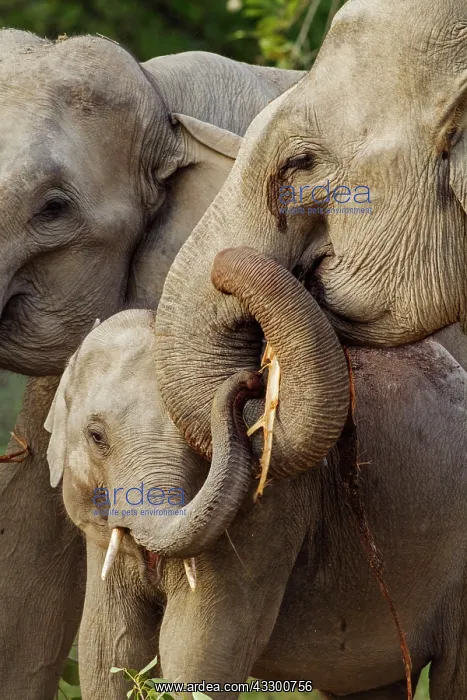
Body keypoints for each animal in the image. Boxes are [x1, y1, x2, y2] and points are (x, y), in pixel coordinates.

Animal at [46, 249, 467, 699]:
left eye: (197, 442)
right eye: (96, 437)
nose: (248, 381)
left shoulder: (268, 512)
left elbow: (195, 654)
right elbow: (109, 650)